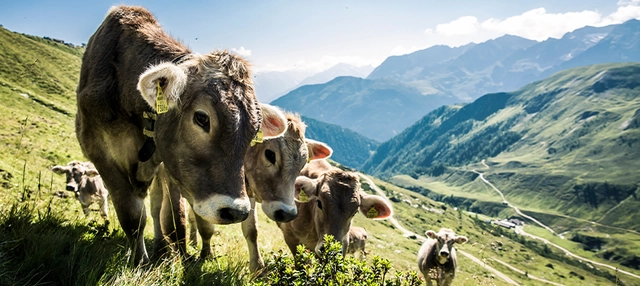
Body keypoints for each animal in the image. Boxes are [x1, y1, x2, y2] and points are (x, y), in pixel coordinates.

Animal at [75, 5, 284, 264]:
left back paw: (162, 247)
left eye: (254, 131)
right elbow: (132, 216)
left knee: (157, 207)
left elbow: (175, 216)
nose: (236, 211)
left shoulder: (170, 165)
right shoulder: (101, 154)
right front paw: (139, 261)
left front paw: (180, 254)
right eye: (202, 118)